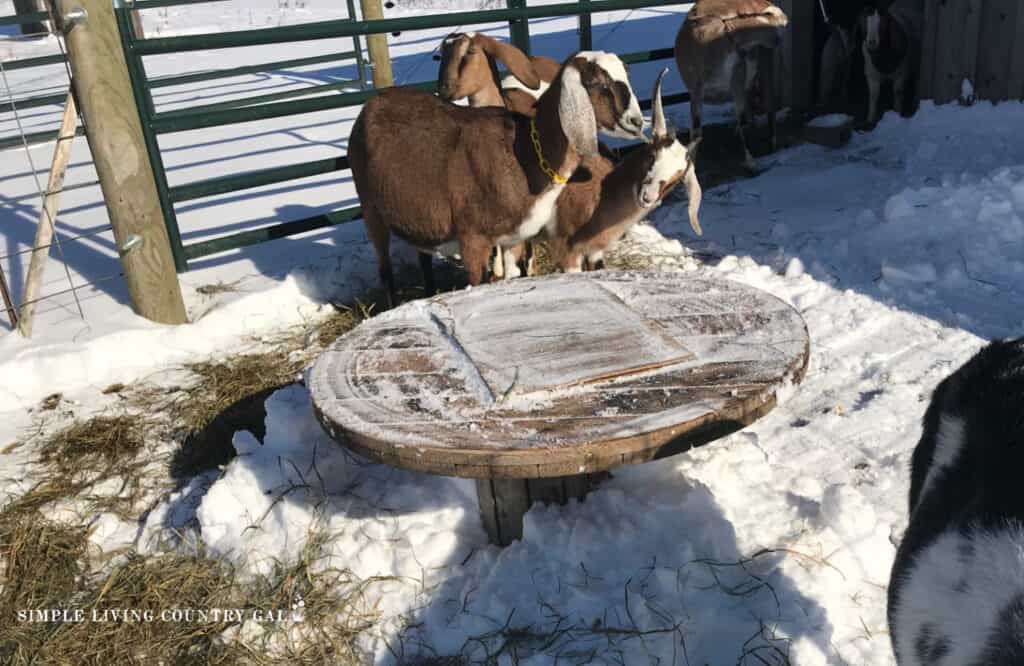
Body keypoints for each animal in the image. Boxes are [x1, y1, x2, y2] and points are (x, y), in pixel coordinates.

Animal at [348, 51, 643, 305]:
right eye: (597, 83)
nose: (637, 122)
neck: (523, 153)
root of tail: (372, 103)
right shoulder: (472, 238)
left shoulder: (511, 239)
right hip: (370, 207)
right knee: (385, 270)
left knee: (423, 256)